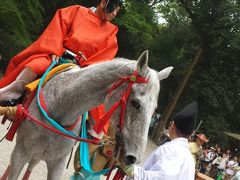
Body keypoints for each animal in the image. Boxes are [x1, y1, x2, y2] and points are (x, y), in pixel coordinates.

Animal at [0, 50, 172, 180]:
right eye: (136, 103)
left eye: (154, 110)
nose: (133, 158)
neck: (60, 106)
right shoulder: (21, 152)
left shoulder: (58, 162)